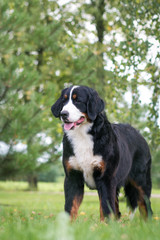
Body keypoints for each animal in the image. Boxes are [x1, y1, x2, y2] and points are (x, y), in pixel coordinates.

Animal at [51, 85, 152, 220]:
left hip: (141, 180)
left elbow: (105, 206)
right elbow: (70, 206)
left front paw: (106, 224)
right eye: (64, 101)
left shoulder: (106, 178)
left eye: (78, 101)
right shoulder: (73, 177)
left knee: (145, 205)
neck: (82, 136)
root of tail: (139, 134)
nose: (63, 114)